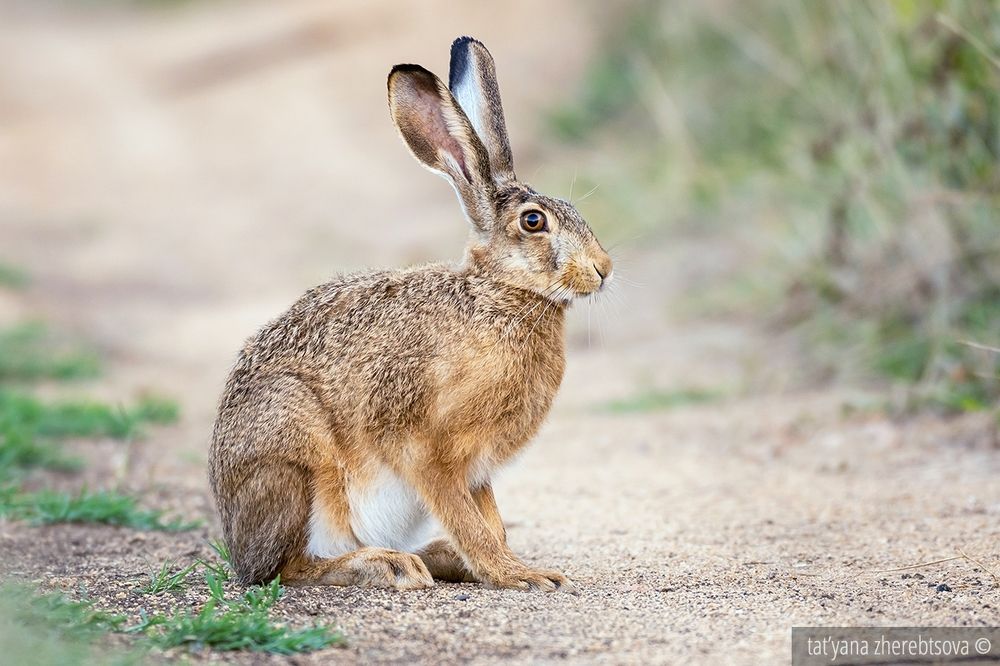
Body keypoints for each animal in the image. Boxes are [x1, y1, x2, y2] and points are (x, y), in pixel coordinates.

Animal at [208, 36, 612, 593]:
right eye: (534, 222)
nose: (604, 269)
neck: (496, 295)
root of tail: (235, 542)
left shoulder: (476, 469)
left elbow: (490, 519)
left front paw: (506, 566)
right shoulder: (426, 449)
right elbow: (470, 520)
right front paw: (521, 575)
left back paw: (435, 558)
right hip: (295, 457)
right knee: (284, 568)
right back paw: (385, 565)